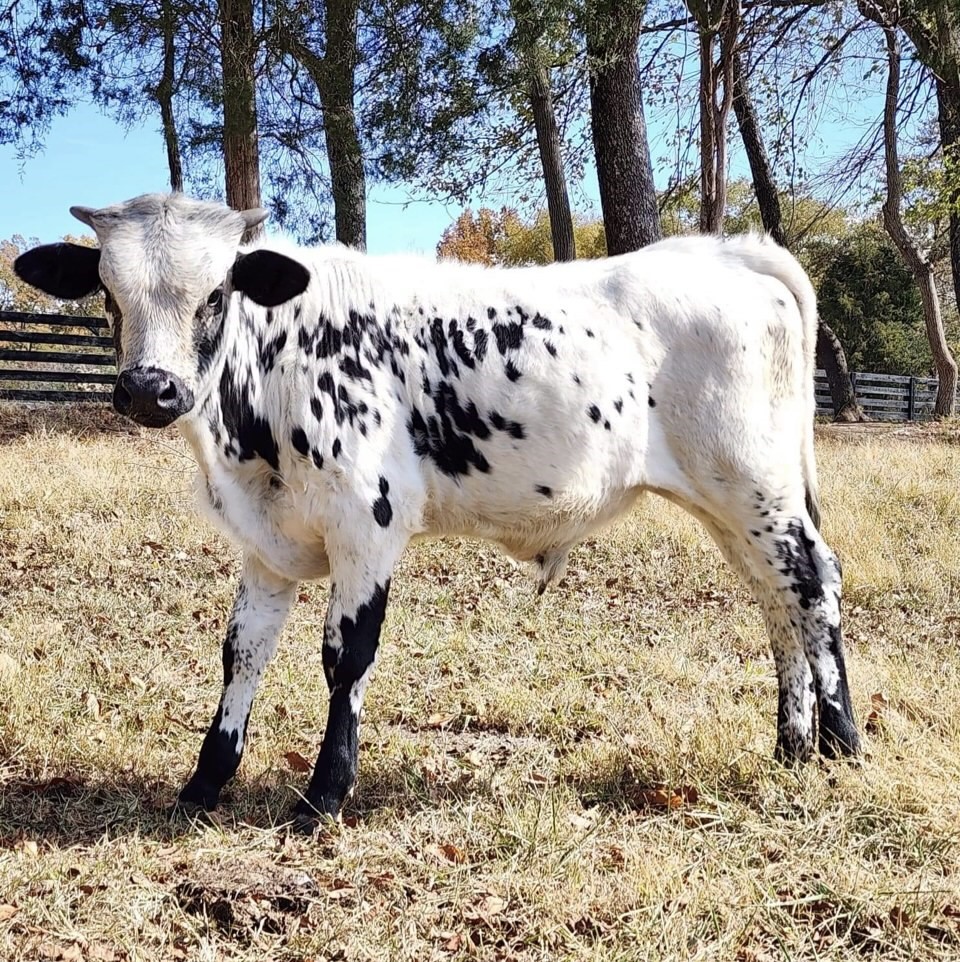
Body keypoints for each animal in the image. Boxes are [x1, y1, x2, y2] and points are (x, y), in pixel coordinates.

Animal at [15, 193, 860, 832]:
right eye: (108, 291)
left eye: (215, 294)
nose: (149, 390)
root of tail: (728, 252)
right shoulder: (266, 543)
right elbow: (241, 654)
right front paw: (203, 784)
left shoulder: (367, 527)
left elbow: (345, 656)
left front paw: (324, 796)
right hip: (731, 503)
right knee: (775, 601)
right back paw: (792, 745)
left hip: (755, 483)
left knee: (812, 584)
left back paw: (843, 746)